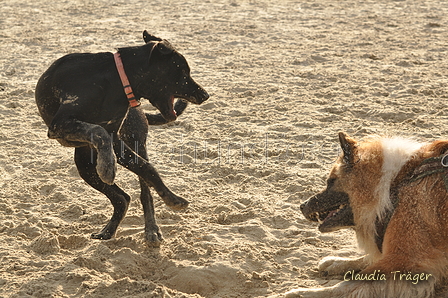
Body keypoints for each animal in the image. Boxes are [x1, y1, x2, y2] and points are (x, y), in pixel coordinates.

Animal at [35, 30, 210, 247]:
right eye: (183, 73)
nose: (205, 95)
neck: (116, 82)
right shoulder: (62, 124)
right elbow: (98, 131)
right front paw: (107, 167)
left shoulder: (116, 139)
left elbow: (147, 168)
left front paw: (172, 198)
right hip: (86, 165)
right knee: (122, 198)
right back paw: (108, 230)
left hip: (134, 144)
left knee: (142, 191)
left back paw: (151, 229)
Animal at [286, 133, 448, 298]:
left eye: (330, 182)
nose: (302, 205)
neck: (395, 184)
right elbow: (369, 258)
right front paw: (337, 262)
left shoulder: (405, 258)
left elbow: (348, 284)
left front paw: (305, 292)